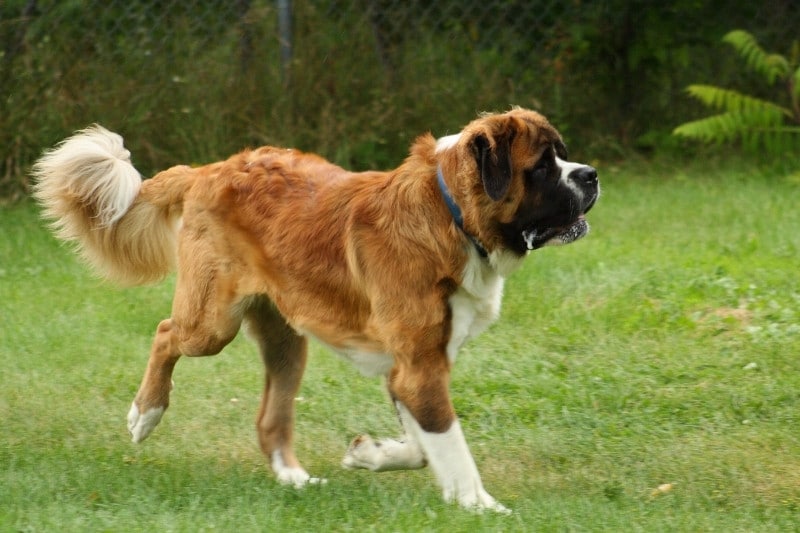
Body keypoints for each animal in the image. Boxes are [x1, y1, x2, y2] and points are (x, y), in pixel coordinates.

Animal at [34, 108, 600, 512]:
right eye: (542, 167)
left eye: (564, 156)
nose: (591, 175)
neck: (451, 215)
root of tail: (210, 169)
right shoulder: (420, 368)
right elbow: (450, 444)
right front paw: (479, 504)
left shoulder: (411, 368)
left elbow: (422, 445)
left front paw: (370, 454)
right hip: (212, 324)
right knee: (166, 332)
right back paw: (145, 414)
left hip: (287, 340)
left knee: (270, 420)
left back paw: (295, 480)